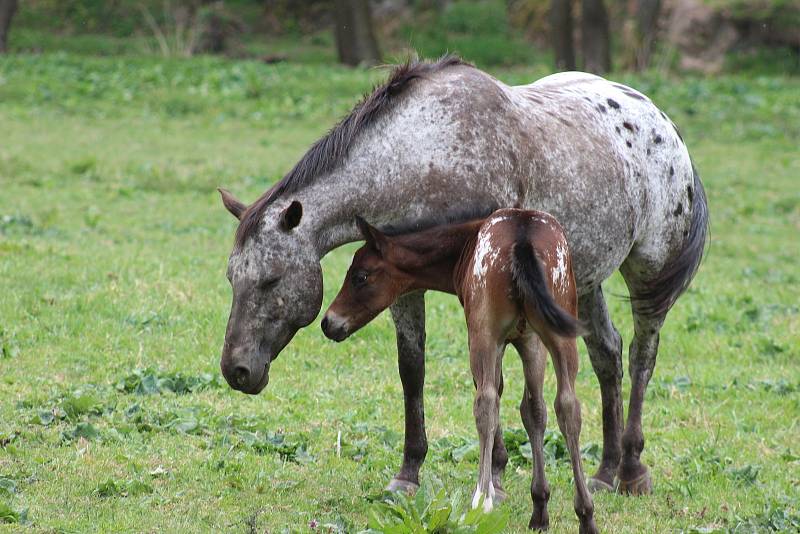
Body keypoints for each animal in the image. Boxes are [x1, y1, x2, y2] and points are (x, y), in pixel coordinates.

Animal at [322, 210, 596, 534]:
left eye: (360, 276)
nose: (328, 322)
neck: (466, 244)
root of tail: (522, 234)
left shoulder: (496, 340)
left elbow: (499, 397)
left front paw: (498, 491)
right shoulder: (531, 339)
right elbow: (534, 411)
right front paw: (540, 509)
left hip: (483, 334)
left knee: (486, 403)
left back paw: (480, 501)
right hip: (560, 333)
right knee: (568, 405)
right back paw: (586, 514)